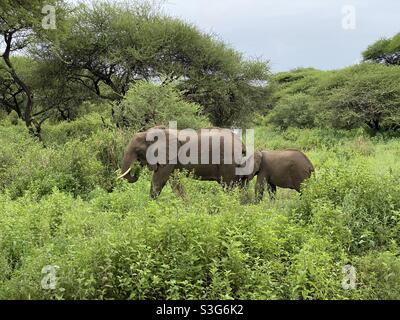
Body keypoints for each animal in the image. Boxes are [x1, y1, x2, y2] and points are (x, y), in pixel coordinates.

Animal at [120, 127, 248, 198]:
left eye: (138, 151)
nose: (137, 168)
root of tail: (241, 144)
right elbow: (174, 181)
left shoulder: (169, 157)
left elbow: (158, 180)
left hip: (228, 162)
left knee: (229, 186)